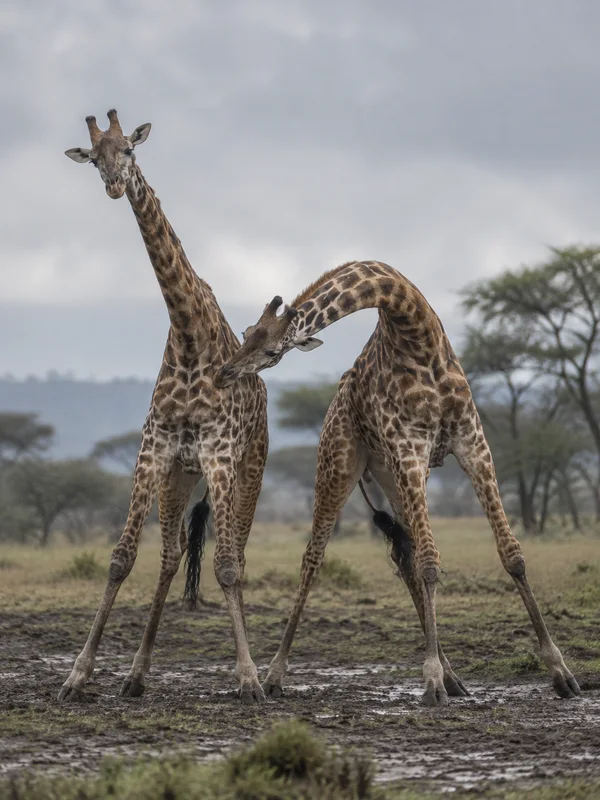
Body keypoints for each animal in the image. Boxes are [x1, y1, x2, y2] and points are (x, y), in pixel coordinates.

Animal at [60, 110, 268, 704]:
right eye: (94, 156)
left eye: (129, 150)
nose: (114, 185)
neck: (188, 332)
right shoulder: (154, 452)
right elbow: (120, 559)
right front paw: (78, 675)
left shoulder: (220, 456)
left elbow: (226, 566)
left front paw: (248, 679)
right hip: (181, 475)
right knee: (173, 555)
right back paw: (136, 674)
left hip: (249, 468)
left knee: (237, 554)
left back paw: (249, 673)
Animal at [214, 260, 580, 706]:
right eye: (247, 332)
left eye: (271, 349)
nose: (224, 373)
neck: (416, 332)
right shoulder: (410, 448)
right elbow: (430, 563)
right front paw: (431, 680)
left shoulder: (472, 444)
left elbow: (511, 555)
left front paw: (561, 673)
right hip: (339, 467)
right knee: (313, 561)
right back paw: (273, 676)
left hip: (393, 480)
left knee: (405, 558)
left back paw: (453, 677)